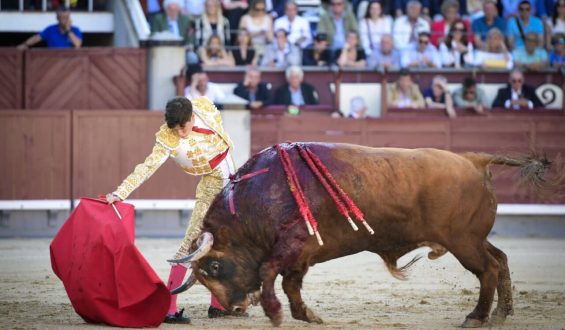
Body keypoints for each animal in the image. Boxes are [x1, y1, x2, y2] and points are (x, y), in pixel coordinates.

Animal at [167, 142, 556, 328]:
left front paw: (276, 314)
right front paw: (308, 316)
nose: (233, 307)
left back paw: (476, 317)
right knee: (501, 260)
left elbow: (269, 273)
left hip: (463, 242)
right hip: (473, 239)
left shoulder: (291, 245)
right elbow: (291, 283)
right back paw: (502, 314)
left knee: (488, 269)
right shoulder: (302, 254)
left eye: (213, 268)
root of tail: (475, 160)